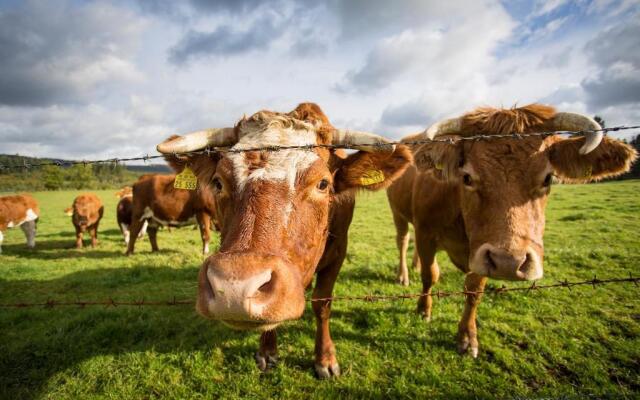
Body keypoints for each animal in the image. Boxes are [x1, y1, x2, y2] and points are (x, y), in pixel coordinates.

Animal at [155, 103, 410, 378]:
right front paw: (268, 351)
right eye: (218, 182)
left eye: (323, 184)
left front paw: (325, 359)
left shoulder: (339, 252)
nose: (234, 288)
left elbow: (322, 304)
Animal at [384, 103, 636, 356]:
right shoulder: (426, 234)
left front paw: (467, 336)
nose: (509, 262)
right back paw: (403, 275)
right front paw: (423, 309)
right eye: (467, 177)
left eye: (548, 178)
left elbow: (474, 290)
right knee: (403, 241)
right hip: (397, 213)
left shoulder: (480, 253)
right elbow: (430, 275)